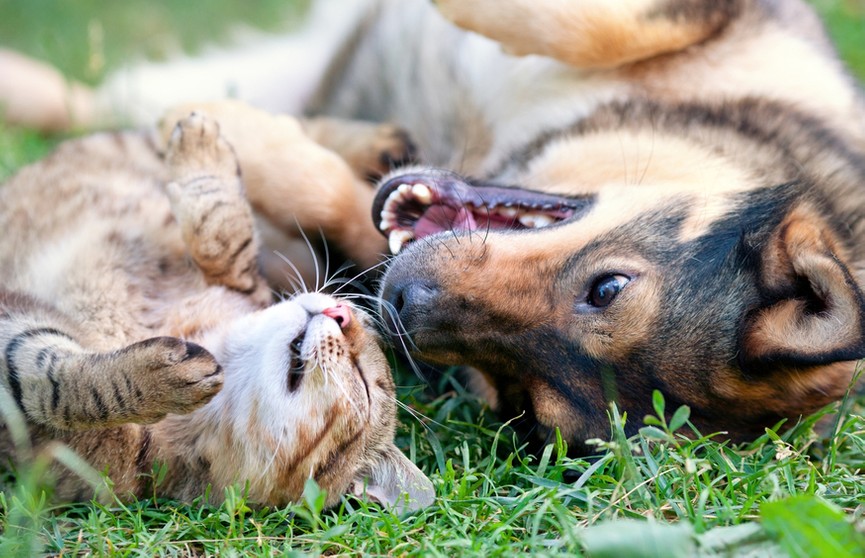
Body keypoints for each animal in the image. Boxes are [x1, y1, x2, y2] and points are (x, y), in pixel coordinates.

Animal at [0, 107, 432, 516]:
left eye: (363, 381)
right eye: (364, 322)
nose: (342, 311)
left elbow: (54, 388)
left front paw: (158, 379)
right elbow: (223, 233)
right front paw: (202, 149)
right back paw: (381, 144)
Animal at [1, 1, 864, 456]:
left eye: (521, 398)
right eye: (607, 286)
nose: (400, 305)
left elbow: (334, 199)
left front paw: (252, 140)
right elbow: (603, 25)